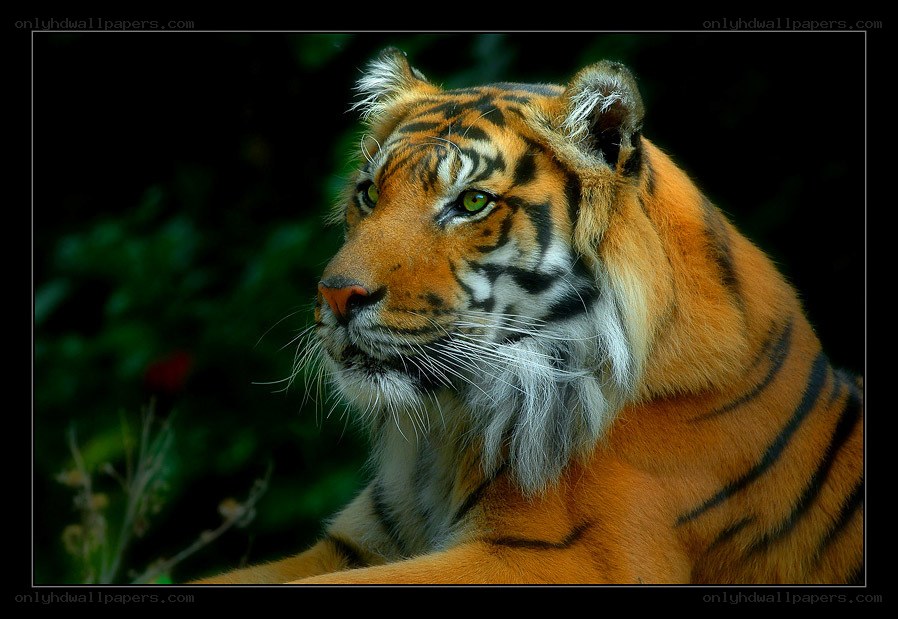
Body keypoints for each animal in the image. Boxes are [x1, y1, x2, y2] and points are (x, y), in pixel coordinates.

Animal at [198, 48, 863, 584]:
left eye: (471, 202)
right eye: (369, 194)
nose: (335, 297)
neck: (445, 434)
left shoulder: (567, 555)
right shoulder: (355, 542)